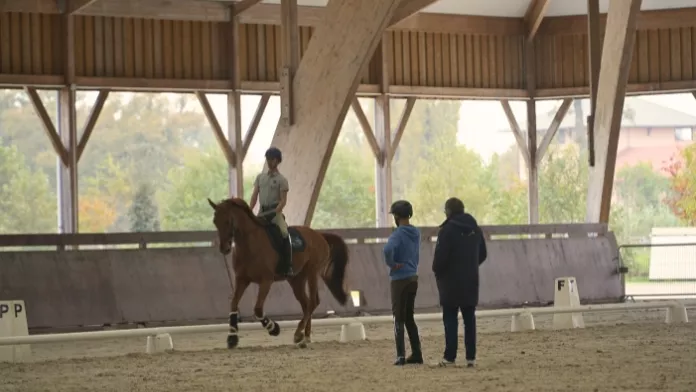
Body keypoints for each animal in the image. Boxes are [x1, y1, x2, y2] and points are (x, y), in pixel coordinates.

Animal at [205, 198, 348, 348]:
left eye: (228, 221)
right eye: (215, 221)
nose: (224, 248)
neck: (249, 244)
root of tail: (320, 235)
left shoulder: (266, 281)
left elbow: (258, 309)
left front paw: (274, 328)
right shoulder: (241, 279)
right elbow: (233, 304)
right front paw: (232, 337)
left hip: (312, 273)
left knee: (313, 302)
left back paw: (298, 334)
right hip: (296, 279)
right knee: (306, 304)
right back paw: (305, 337)